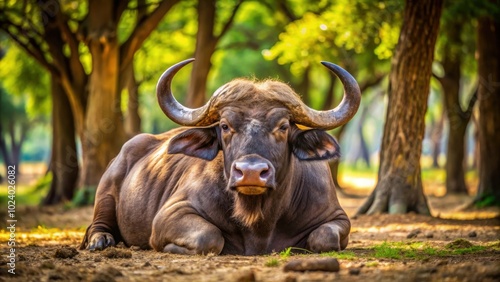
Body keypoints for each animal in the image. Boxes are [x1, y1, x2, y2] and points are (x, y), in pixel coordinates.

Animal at [80, 59, 358, 256]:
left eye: (283, 126)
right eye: (225, 126)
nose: (251, 173)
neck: (259, 220)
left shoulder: (337, 217)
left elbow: (325, 238)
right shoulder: (171, 214)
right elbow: (208, 237)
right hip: (106, 191)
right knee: (97, 224)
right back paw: (101, 241)